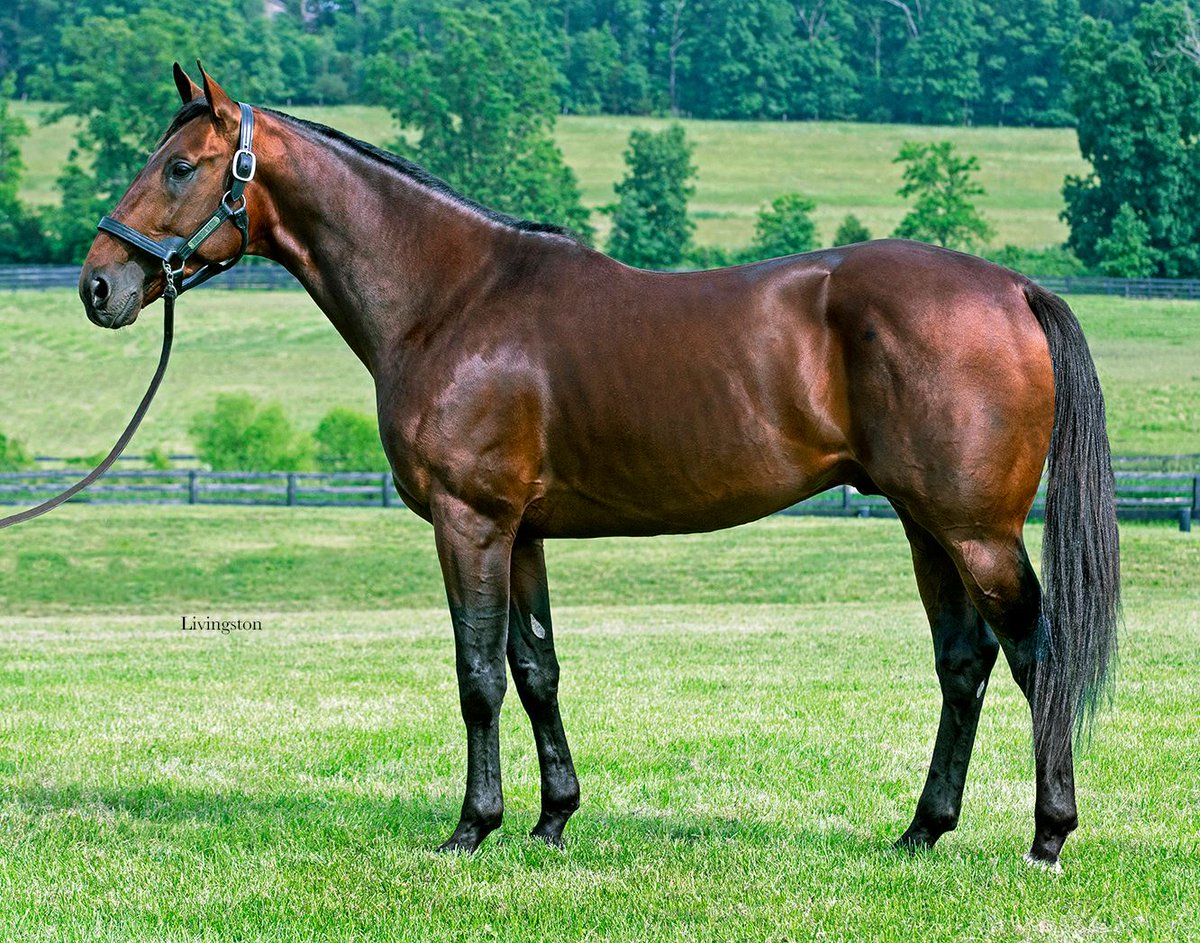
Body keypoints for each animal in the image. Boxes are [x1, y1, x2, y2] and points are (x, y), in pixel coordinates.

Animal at [79, 65, 1119, 868]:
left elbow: (477, 673)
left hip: (975, 530)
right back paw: (921, 832)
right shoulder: (523, 530)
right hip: (924, 523)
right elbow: (535, 666)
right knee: (963, 662)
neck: (451, 298)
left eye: (180, 166)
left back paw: (1047, 835)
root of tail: (1013, 289)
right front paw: (552, 820)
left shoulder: (471, 519)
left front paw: (471, 828)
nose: (99, 285)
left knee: (1035, 654)